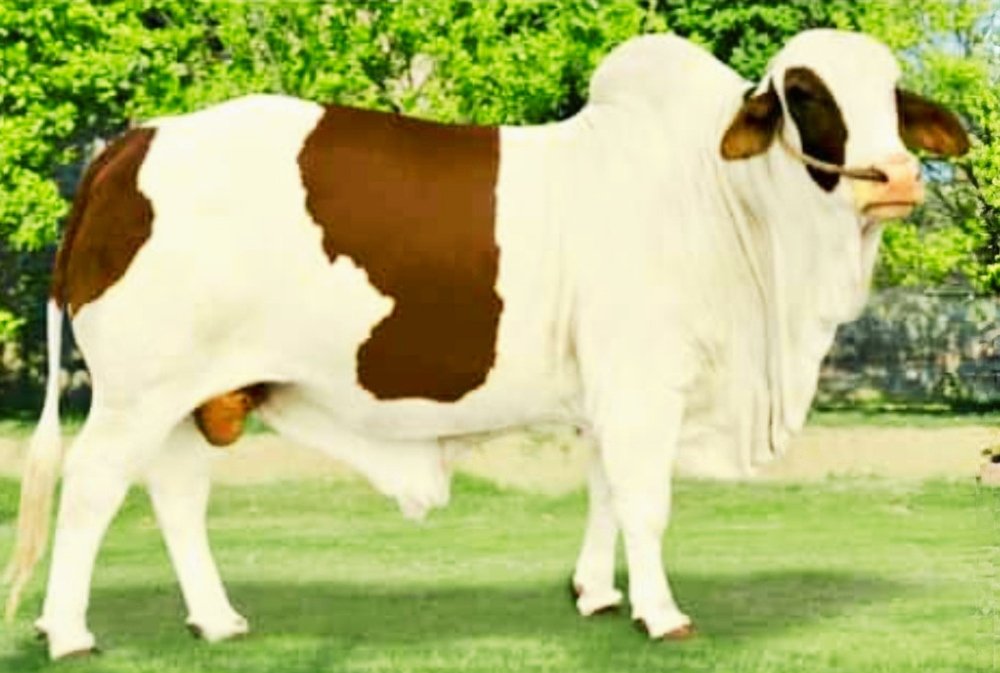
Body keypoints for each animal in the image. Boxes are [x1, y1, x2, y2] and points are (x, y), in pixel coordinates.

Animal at [4, 29, 968, 659]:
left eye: (893, 97)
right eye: (805, 94)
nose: (895, 176)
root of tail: (136, 138)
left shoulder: (608, 394)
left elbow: (606, 494)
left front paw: (598, 593)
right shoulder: (642, 386)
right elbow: (647, 501)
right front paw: (661, 612)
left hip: (194, 392)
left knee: (175, 496)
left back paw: (217, 619)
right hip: (137, 391)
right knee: (92, 491)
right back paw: (70, 630)